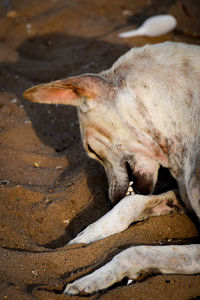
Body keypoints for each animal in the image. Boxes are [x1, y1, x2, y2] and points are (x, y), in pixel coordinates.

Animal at [23, 41, 200, 296]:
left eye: (91, 149)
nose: (110, 200)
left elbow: (135, 251)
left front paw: (91, 280)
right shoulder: (181, 197)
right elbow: (131, 203)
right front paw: (86, 237)